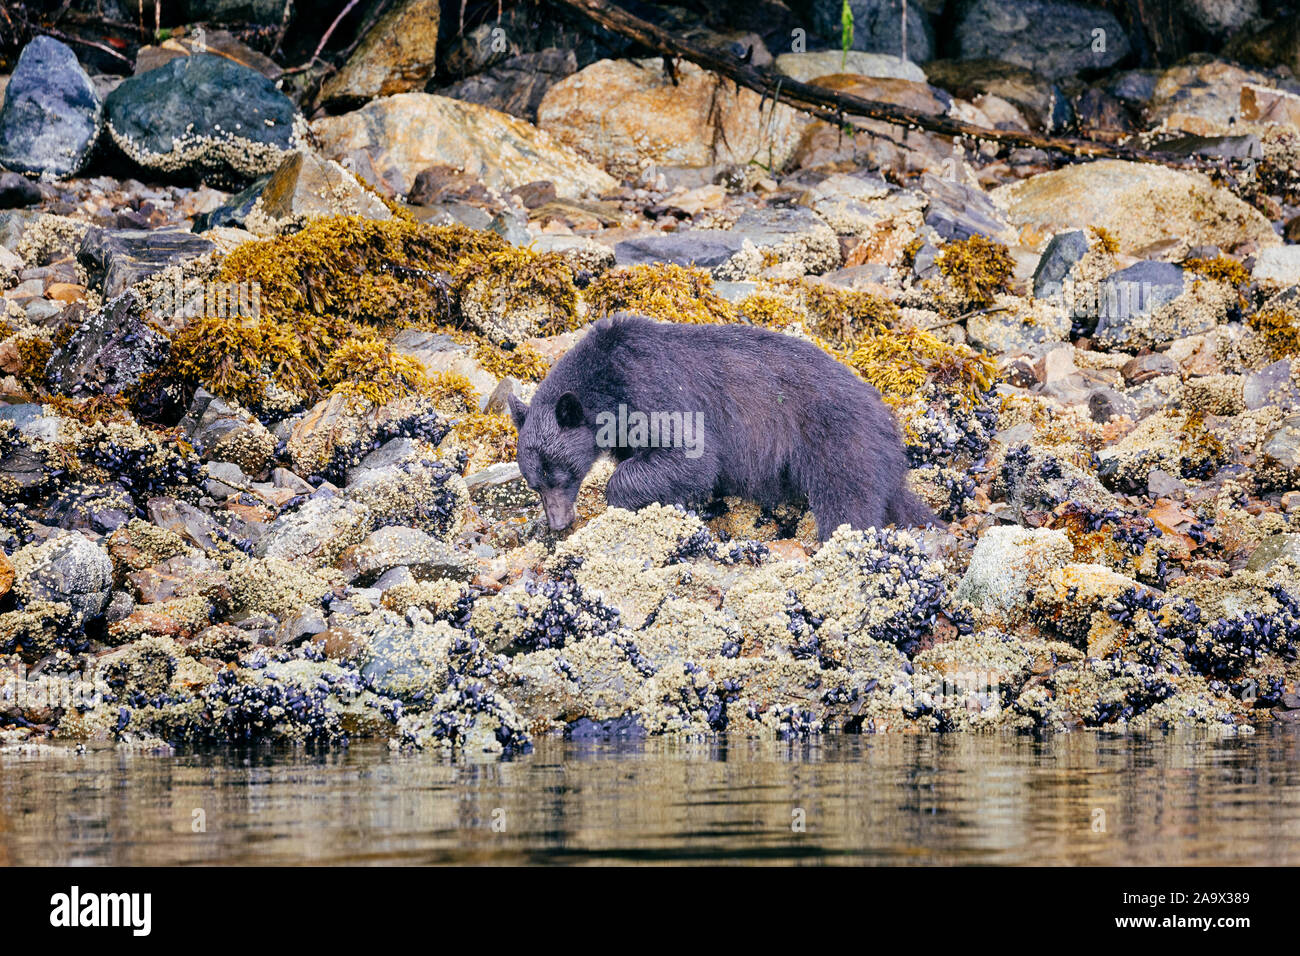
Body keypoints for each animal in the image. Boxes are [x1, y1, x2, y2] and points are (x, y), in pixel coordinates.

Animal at [507, 313, 936, 540]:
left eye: (561, 473)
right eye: (534, 483)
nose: (558, 523)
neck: (605, 379)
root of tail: (886, 422)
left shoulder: (652, 388)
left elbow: (690, 454)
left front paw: (623, 498)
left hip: (838, 441)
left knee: (848, 503)